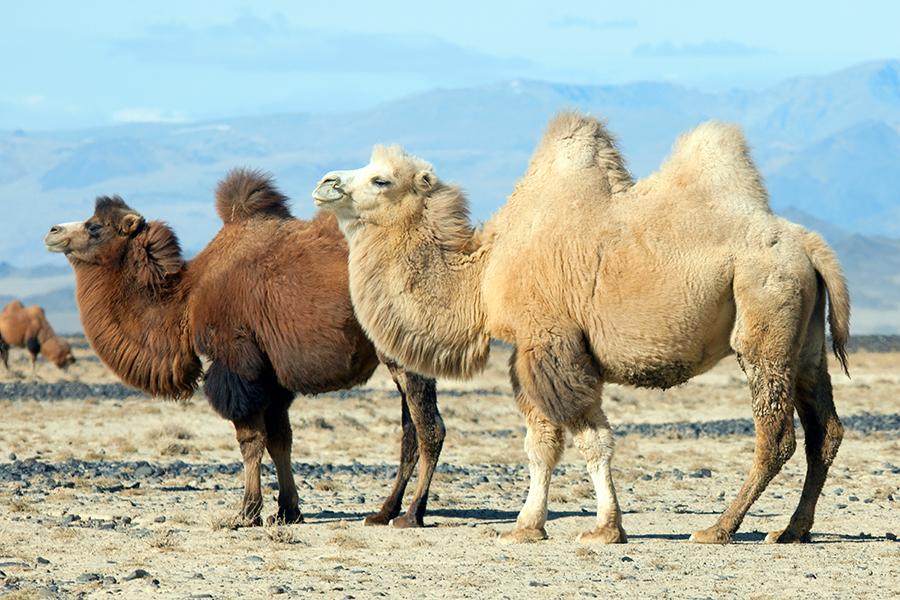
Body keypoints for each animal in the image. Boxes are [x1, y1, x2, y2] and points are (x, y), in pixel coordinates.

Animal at [44, 170, 445, 528]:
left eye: (95, 227)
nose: (52, 231)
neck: (187, 299)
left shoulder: (237, 360)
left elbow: (250, 439)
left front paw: (246, 513)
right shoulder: (272, 372)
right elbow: (281, 439)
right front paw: (287, 511)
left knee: (429, 429)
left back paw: (411, 515)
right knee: (410, 431)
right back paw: (383, 512)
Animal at [313, 111, 851, 545]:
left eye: (381, 180)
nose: (325, 182)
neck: (482, 276)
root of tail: (808, 244)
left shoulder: (547, 342)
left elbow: (568, 441)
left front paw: (568, 528)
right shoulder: (545, 351)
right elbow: (562, 442)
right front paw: (561, 526)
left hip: (764, 316)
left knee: (776, 434)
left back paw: (718, 529)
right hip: (804, 341)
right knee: (825, 430)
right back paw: (792, 530)